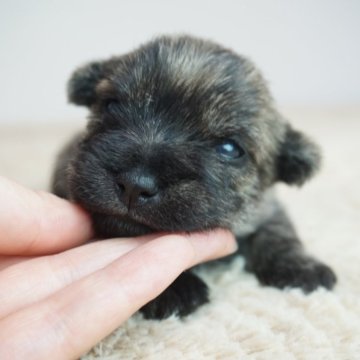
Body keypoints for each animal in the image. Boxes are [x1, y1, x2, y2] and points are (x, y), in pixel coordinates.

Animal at [52, 35, 336, 320]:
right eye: (111, 105)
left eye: (230, 148)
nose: (135, 185)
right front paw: (172, 287)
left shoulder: (268, 208)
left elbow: (279, 232)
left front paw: (301, 267)